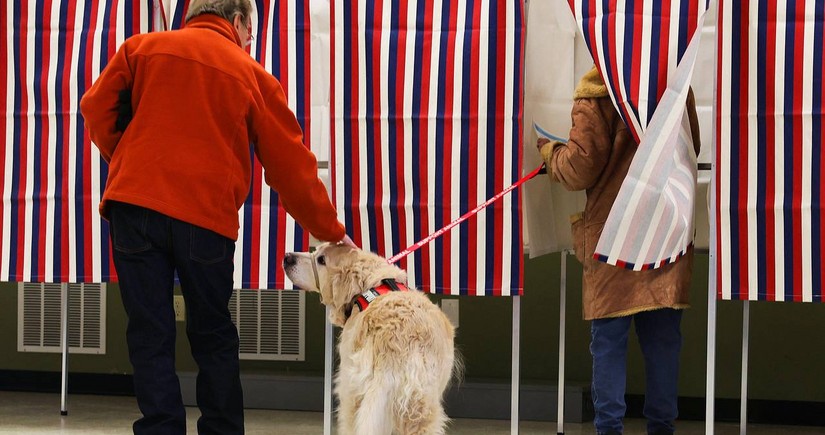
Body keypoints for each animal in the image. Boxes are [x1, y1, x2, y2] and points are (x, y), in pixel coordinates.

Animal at [284, 245, 458, 435]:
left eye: (321, 260)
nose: (287, 257)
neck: (372, 285)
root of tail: (394, 343)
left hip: (354, 392)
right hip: (418, 407)